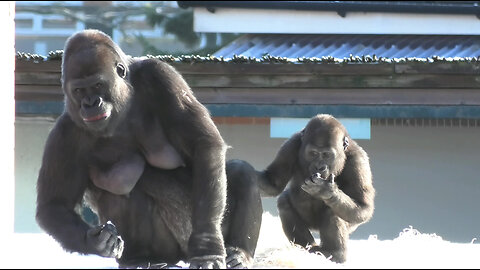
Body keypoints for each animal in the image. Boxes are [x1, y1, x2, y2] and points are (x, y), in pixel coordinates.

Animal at [36, 28, 262, 268]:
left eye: (97, 85)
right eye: (78, 90)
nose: (90, 104)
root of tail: (180, 257)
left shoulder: (159, 75)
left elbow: (203, 144)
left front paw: (207, 247)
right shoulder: (65, 135)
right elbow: (54, 206)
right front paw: (94, 242)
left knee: (241, 171)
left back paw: (239, 252)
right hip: (169, 252)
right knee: (123, 191)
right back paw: (140, 258)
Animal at [258, 114, 376, 264]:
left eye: (327, 155)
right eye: (313, 153)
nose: (319, 167)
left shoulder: (359, 160)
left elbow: (363, 206)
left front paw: (326, 191)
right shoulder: (291, 145)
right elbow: (273, 182)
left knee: (332, 210)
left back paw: (335, 253)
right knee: (284, 201)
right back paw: (304, 247)